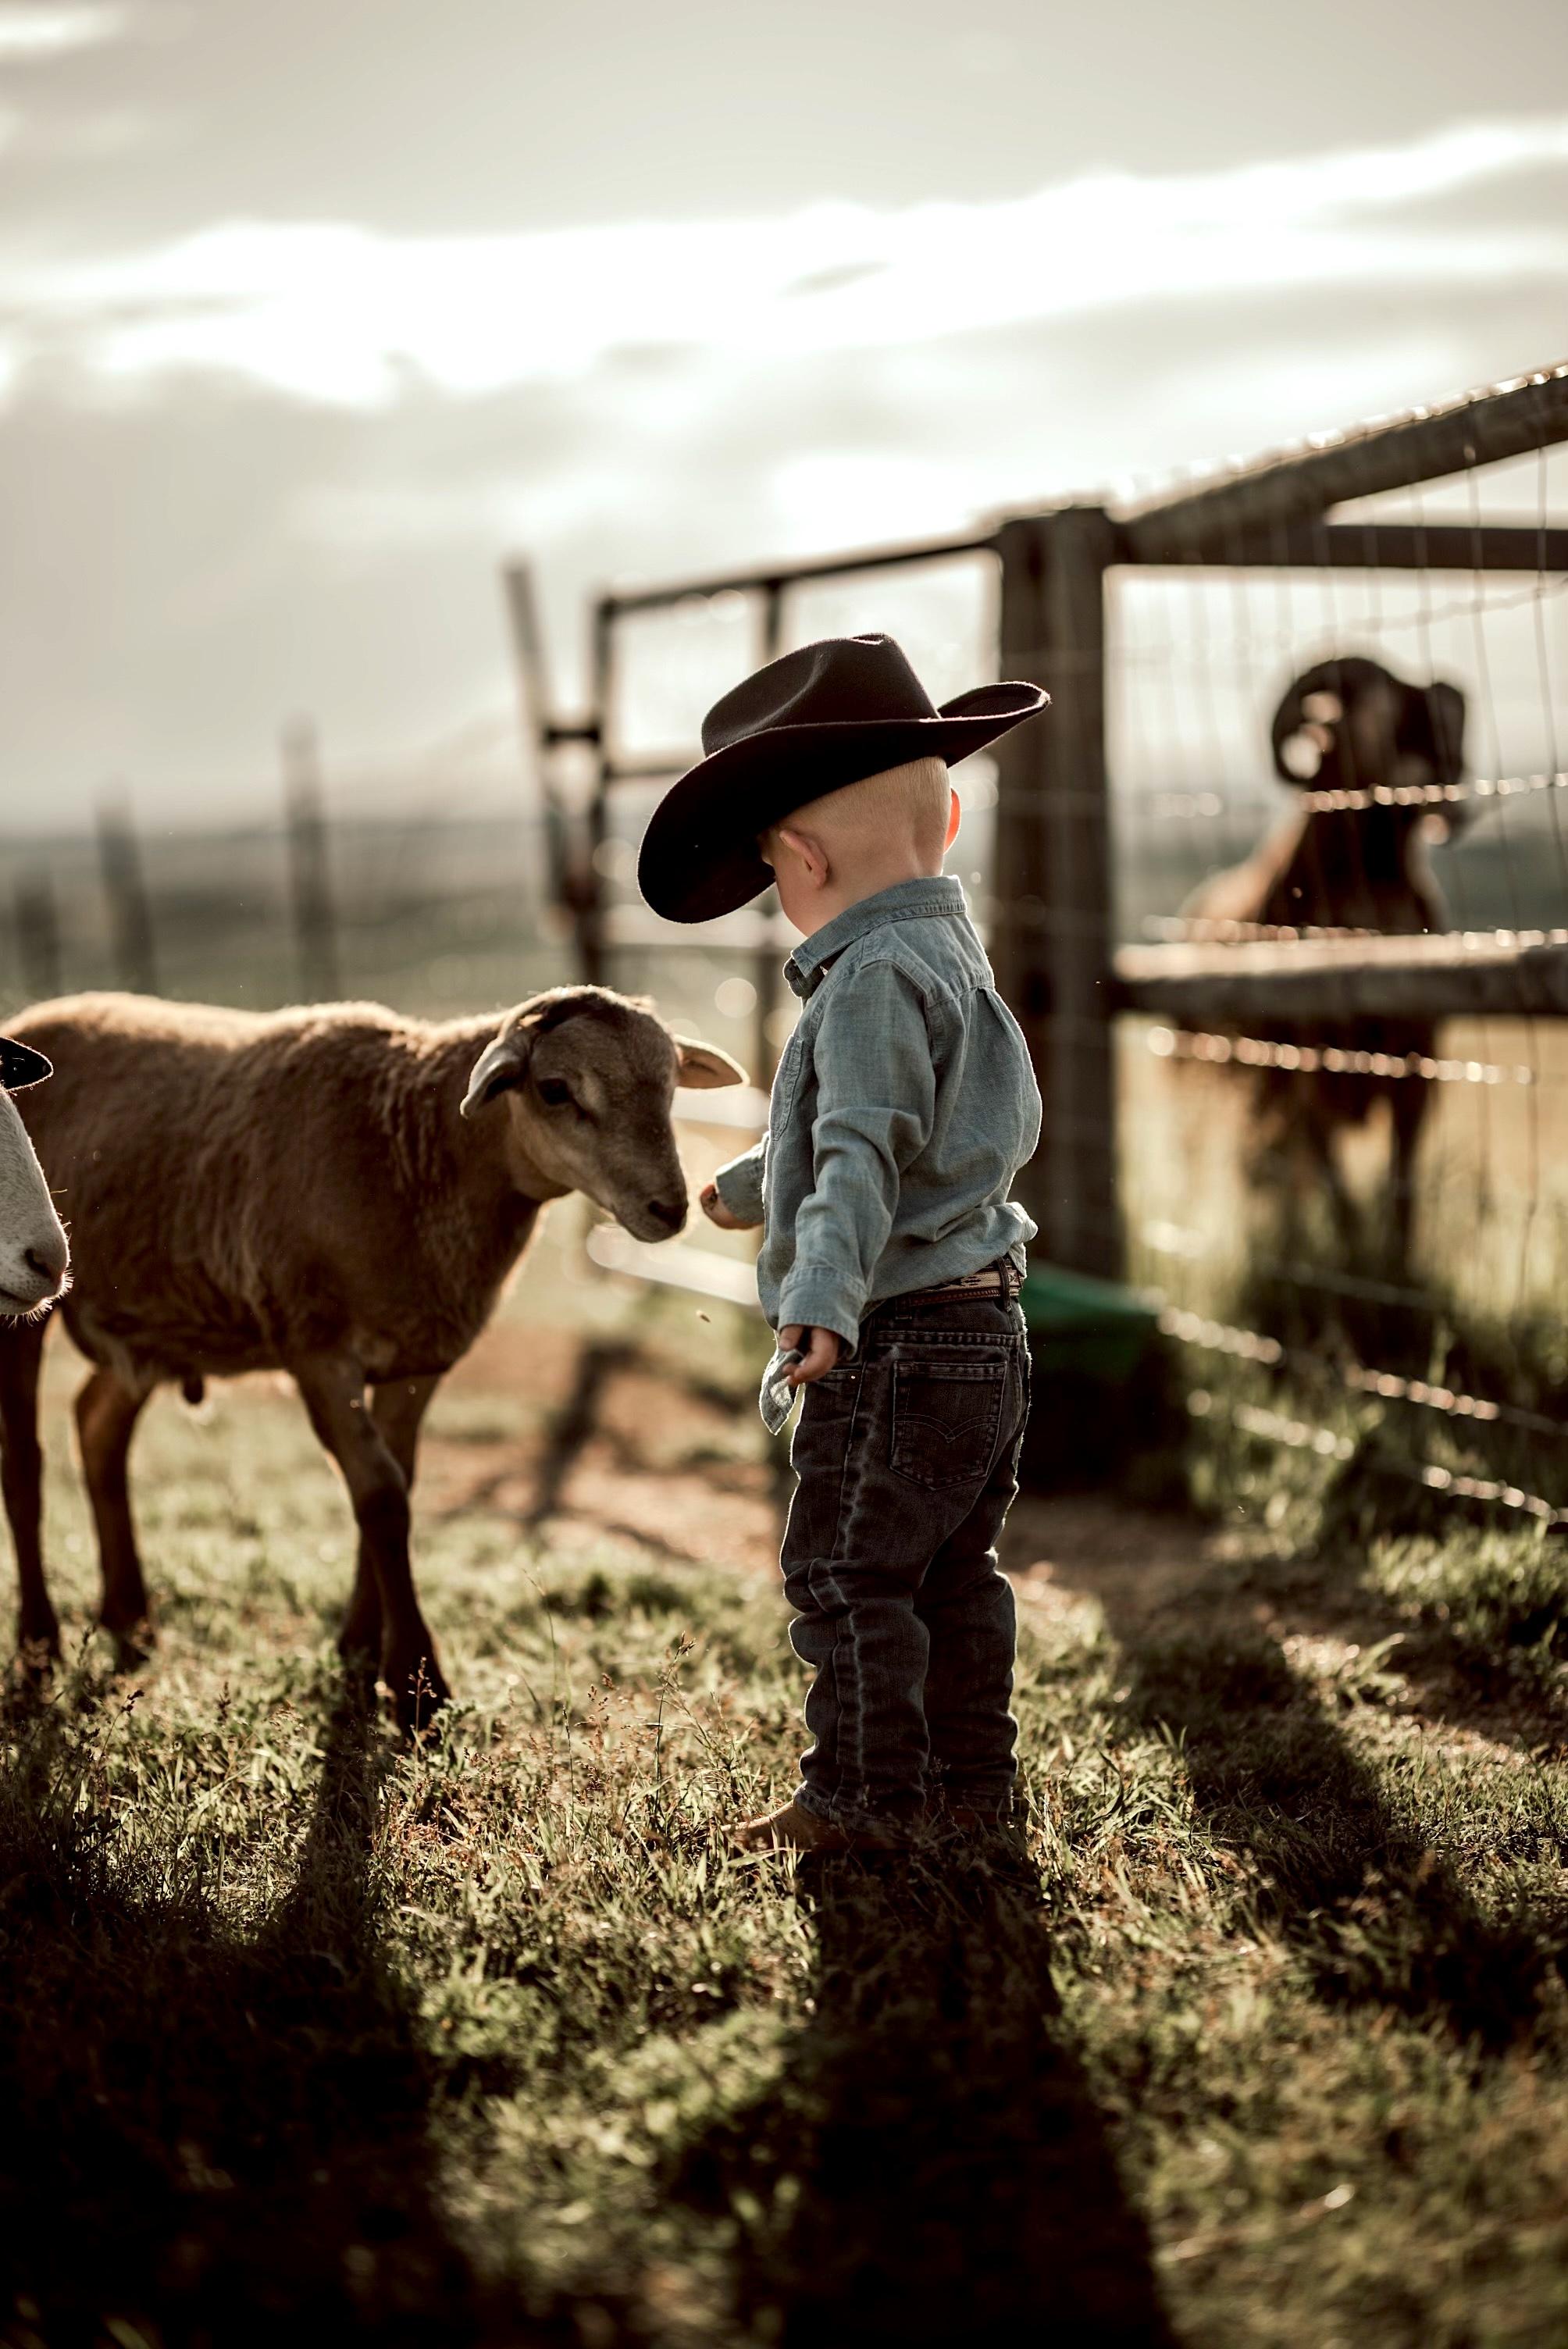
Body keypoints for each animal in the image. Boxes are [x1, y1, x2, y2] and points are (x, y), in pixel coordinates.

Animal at [0, 982, 746, 1719]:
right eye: (556, 1089)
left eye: (670, 1084)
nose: (670, 1208)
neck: (414, 1149)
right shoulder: (316, 1349)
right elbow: (382, 1495)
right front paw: (418, 1682)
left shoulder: (415, 1360)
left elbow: (393, 1485)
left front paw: (361, 1651)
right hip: (27, 1309)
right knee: (25, 1465)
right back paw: (41, 1646)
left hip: (149, 1325)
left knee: (97, 1428)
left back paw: (129, 1618)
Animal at [1188, 653, 1474, 1278]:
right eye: (1380, 712)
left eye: (1450, 720)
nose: (1449, 785)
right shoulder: (1305, 1071)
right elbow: (1334, 1185)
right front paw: (1355, 1258)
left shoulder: (1417, 1064)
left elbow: (1402, 1184)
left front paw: (1395, 1265)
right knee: (1265, 1167)